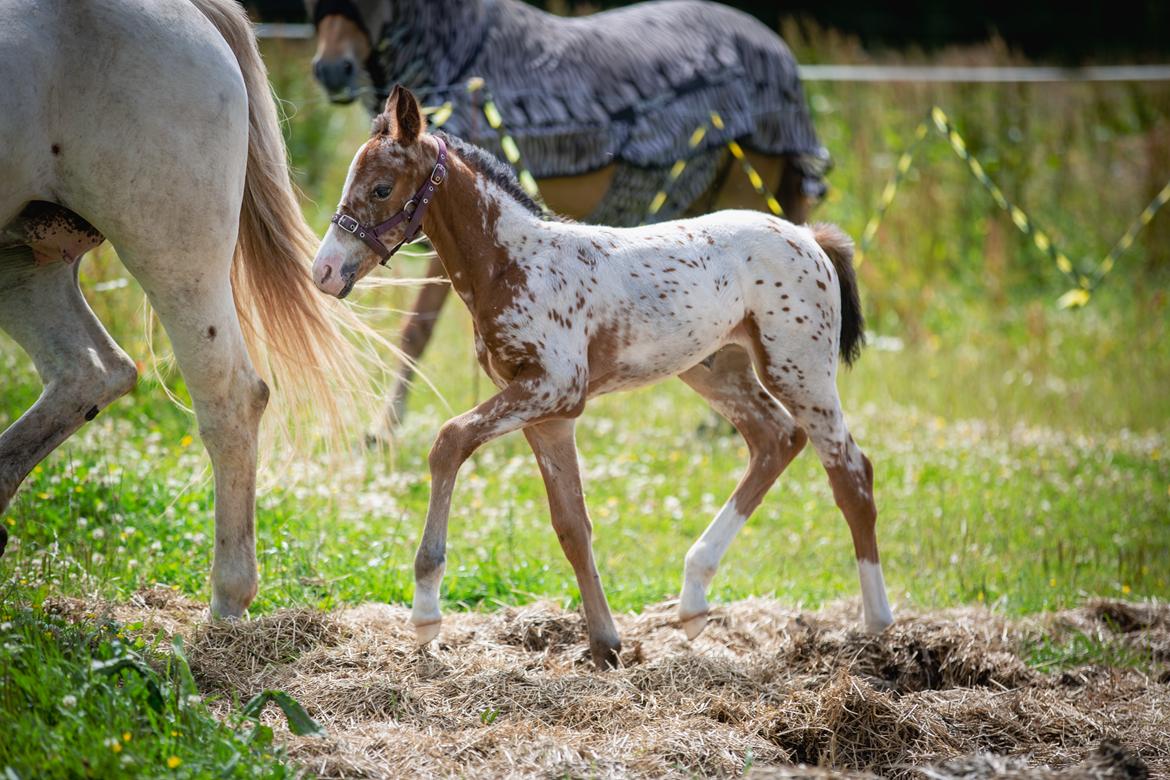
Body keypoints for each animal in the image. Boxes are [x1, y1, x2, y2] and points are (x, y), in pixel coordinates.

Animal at [311, 88, 893, 668]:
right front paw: (605, 645)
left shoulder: (554, 389)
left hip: (800, 369)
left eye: (381, 187)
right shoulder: (546, 415)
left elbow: (448, 441)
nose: (324, 272)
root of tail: (809, 236)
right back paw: (693, 599)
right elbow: (572, 524)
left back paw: (877, 626)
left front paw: (426, 611)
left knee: (851, 473)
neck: (512, 263)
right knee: (776, 439)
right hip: (716, 369)